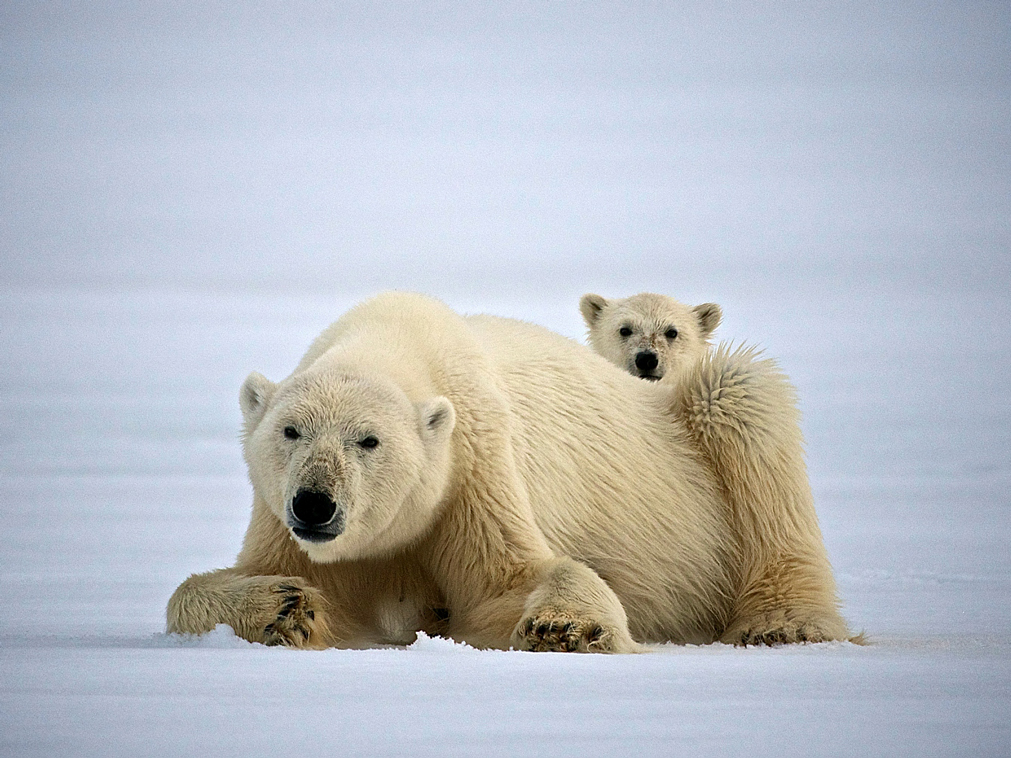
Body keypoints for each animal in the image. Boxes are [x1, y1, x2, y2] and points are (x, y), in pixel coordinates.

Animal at [169, 293, 849, 654]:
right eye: (291, 431)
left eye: (369, 440)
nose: (315, 504)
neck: (399, 340)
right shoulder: (287, 519)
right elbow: (215, 588)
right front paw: (282, 606)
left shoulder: (474, 466)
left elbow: (506, 585)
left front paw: (564, 624)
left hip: (701, 421)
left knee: (748, 410)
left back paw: (780, 625)